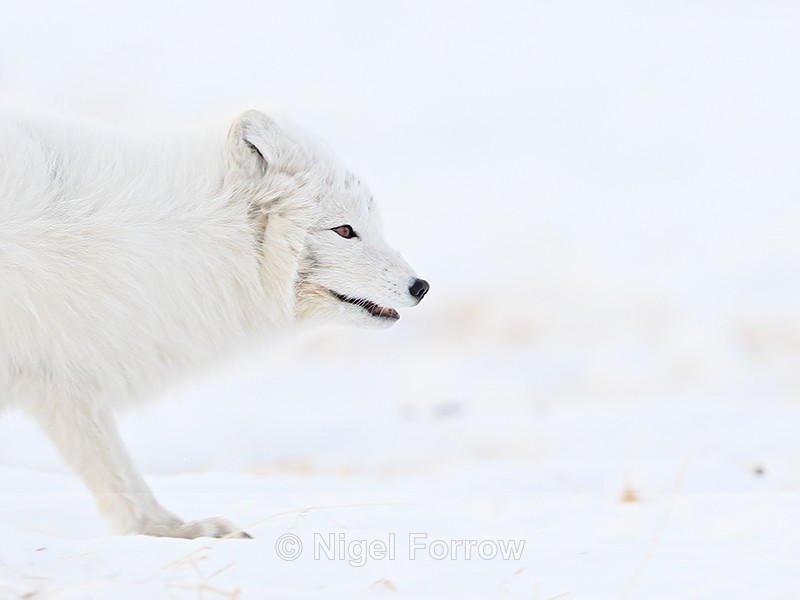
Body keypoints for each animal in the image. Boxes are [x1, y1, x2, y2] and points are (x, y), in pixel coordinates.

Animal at [0, 109, 429, 538]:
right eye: (344, 230)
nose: (421, 286)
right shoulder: (62, 377)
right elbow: (118, 474)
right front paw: (178, 532)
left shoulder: (61, 379)